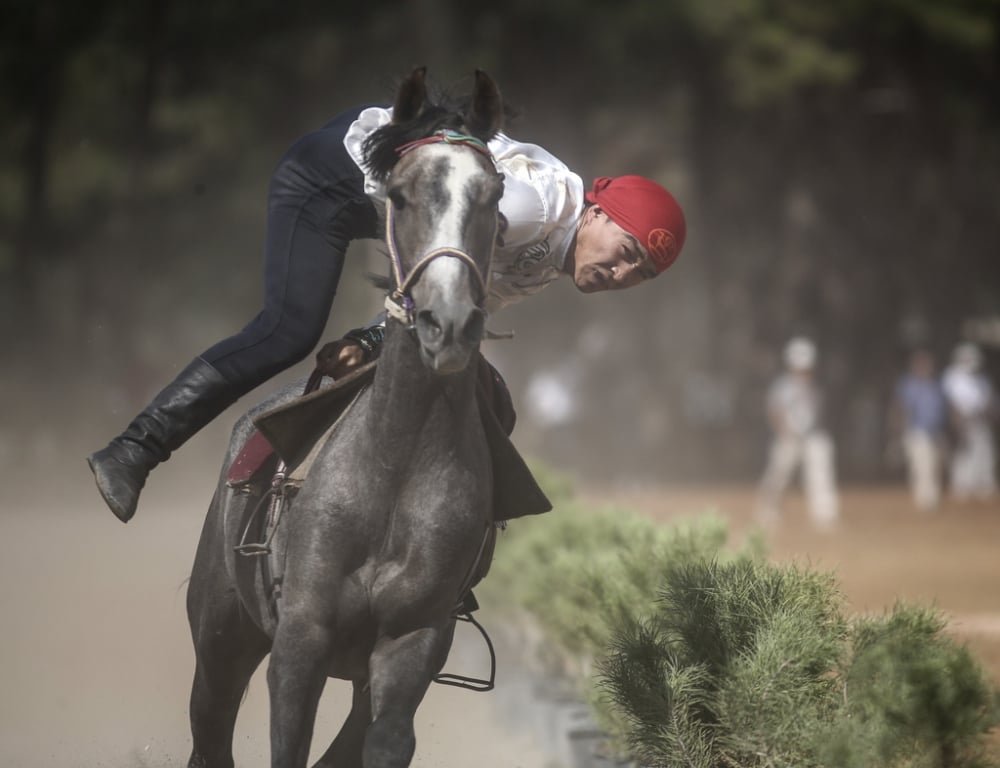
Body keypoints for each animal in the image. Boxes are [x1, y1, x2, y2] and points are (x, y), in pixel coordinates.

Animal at [188, 67, 512, 768]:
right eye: (400, 196)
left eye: (493, 194)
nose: (448, 323)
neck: (394, 469)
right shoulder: (300, 640)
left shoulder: (412, 641)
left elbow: (384, 739)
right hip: (221, 632)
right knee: (211, 730)